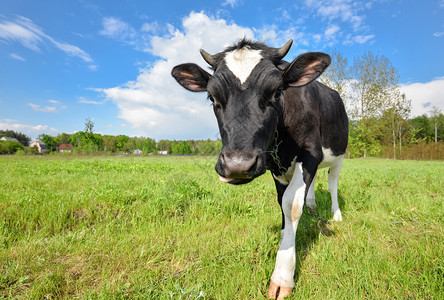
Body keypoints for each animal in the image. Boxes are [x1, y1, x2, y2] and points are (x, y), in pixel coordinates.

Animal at [172, 39, 348, 300]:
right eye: (211, 97)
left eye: (276, 92)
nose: (237, 165)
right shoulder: (276, 166)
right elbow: (282, 202)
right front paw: (286, 236)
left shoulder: (311, 153)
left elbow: (291, 204)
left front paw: (283, 274)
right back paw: (313, 204)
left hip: (339, 154)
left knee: (333, 182)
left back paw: (336, 214)